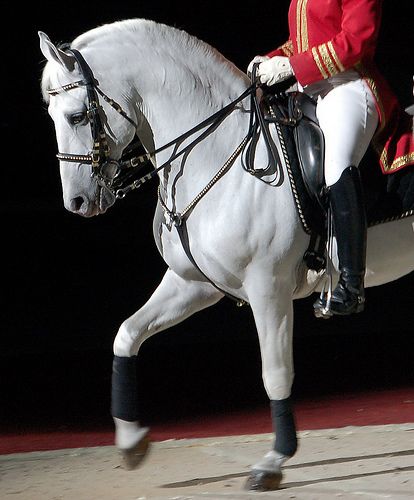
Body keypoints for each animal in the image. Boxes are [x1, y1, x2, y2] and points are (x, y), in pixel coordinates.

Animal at [38, 20, 414, 492]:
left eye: (76, 116)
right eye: (51, 116)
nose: (77, 202)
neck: (218, 148)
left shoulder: (268, 288)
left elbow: (275, 371)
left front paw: (274, 459)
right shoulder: (194, 284)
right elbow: (127, 334)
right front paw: (131, 441)